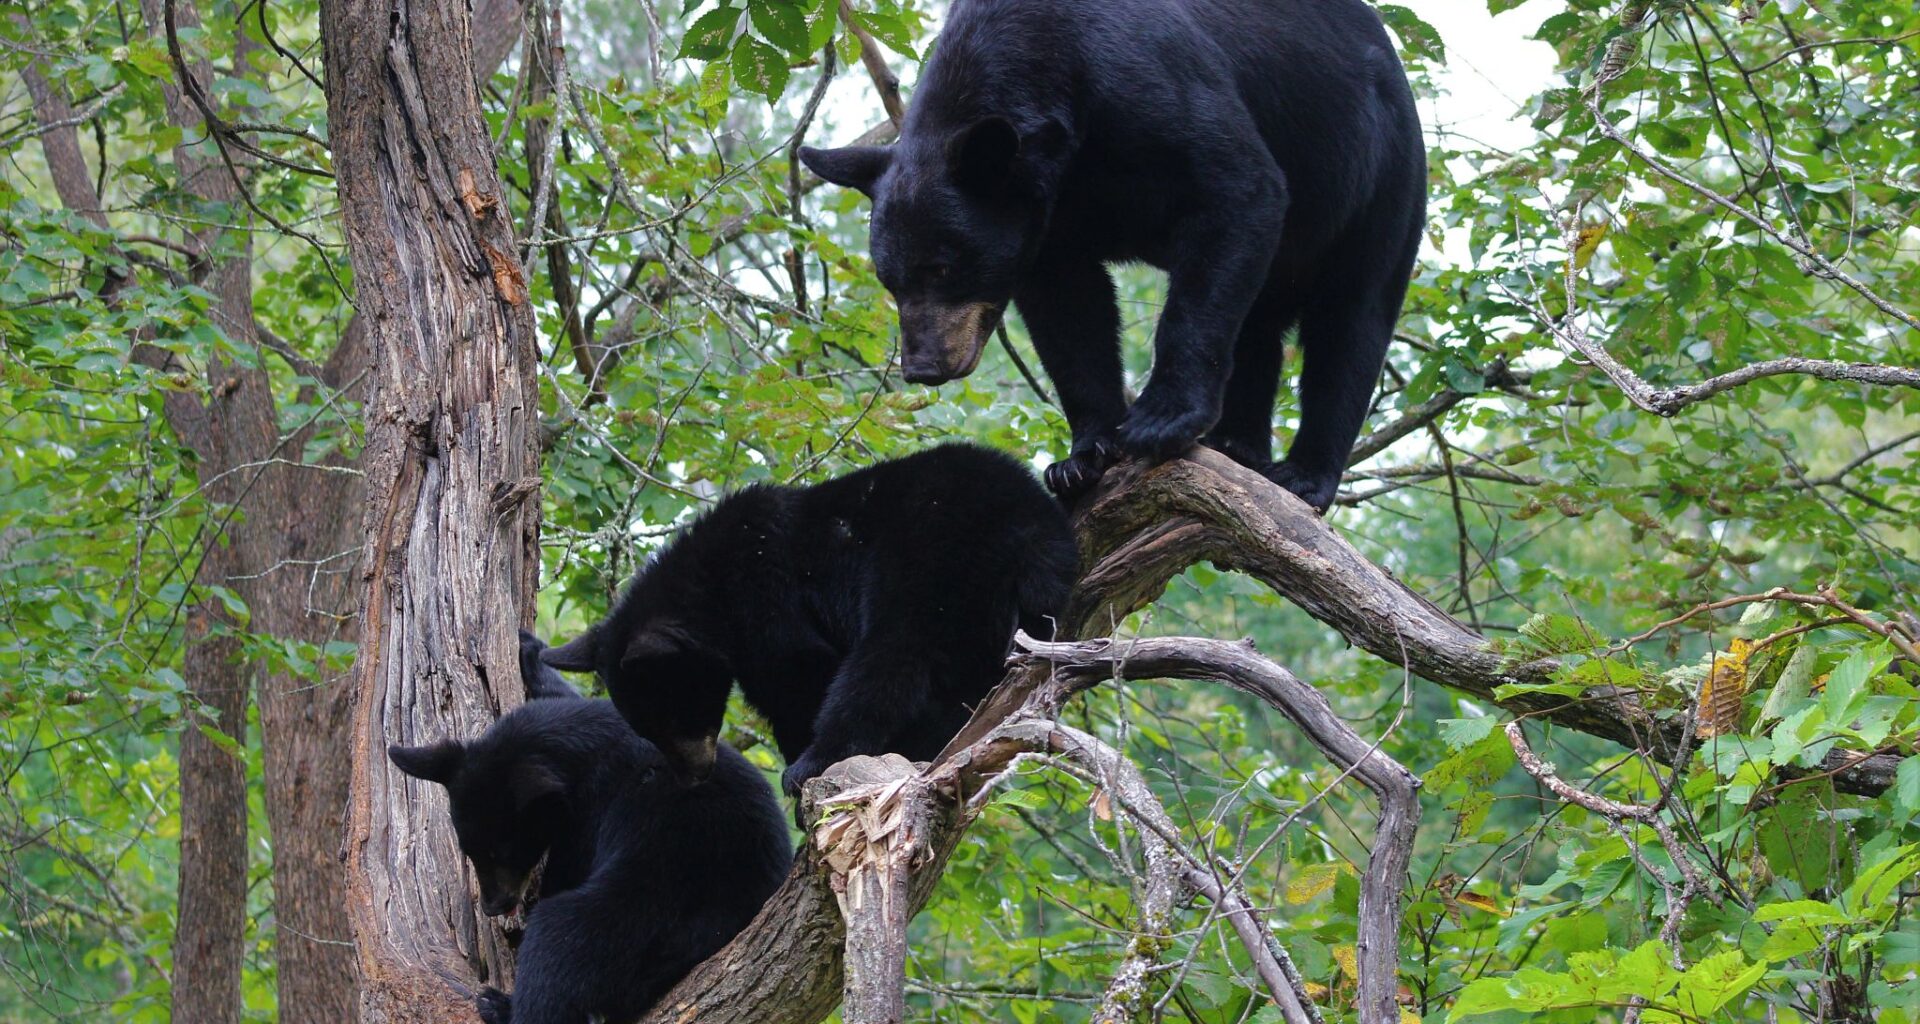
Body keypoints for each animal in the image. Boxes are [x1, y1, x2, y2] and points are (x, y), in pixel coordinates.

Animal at [387, 631, 792, 1024]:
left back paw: (502, 1005)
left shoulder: (592, 815)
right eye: (469, 851)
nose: (492, 905)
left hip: (652, 922)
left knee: (559, 943)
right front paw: (531, 649)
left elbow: (567, 875)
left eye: (503, 851)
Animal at [541, 441, 1078, 800]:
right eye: (647, 726)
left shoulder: (764, 594)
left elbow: (801, 672)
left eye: (673, 715)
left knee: (890, 659)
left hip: (928, 559)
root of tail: (1022, 521)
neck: (710, 586)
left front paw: (801, 755)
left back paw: (823, 759)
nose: (694, 775)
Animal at [799, 0, 1426, 513]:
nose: (924, 366)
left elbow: (1239, 190)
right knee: (1255, 325)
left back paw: (1303, 475)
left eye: (943, 269)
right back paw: (1237, 446)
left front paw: (1160, 421)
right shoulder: (1052, 212)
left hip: (1380, 176)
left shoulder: (1146, 80)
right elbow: (1071, 314)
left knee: (1351, 322)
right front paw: (1081, 458)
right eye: (890, 280)